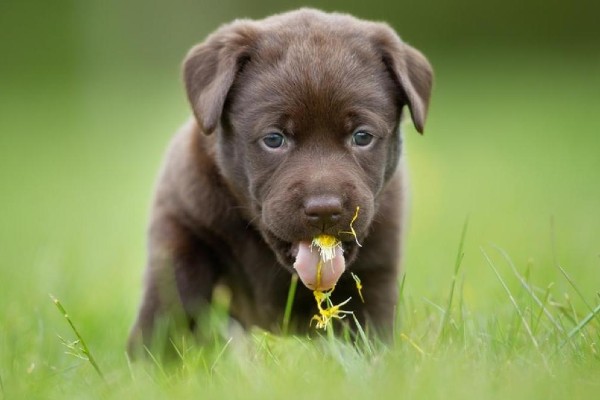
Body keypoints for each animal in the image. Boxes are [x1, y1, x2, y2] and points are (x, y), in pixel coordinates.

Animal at [130, 8, 432, 354]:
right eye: (274, 139)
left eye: (362, 137)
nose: (325, 209)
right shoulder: (183, 227)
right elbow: (169, 306)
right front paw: (151, 361)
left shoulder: (377, 266)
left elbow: (368, 330)